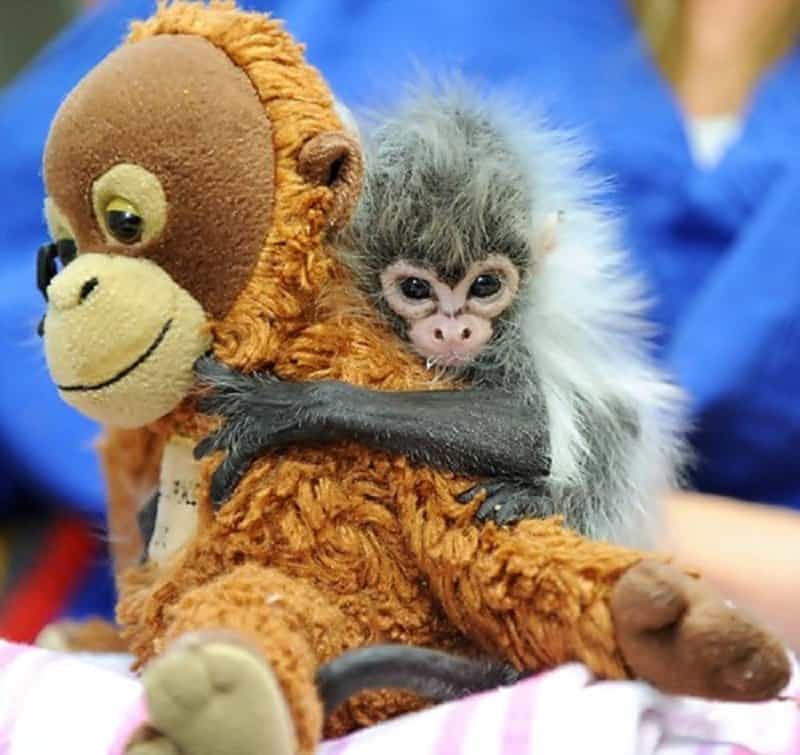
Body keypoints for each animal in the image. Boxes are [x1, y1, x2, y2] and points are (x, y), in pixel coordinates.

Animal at [197, 82, 684, 548]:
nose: (454, 330)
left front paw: (289, 404)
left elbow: (532, 428)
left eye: (485, 285)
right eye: (416, 289)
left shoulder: (516, 337)